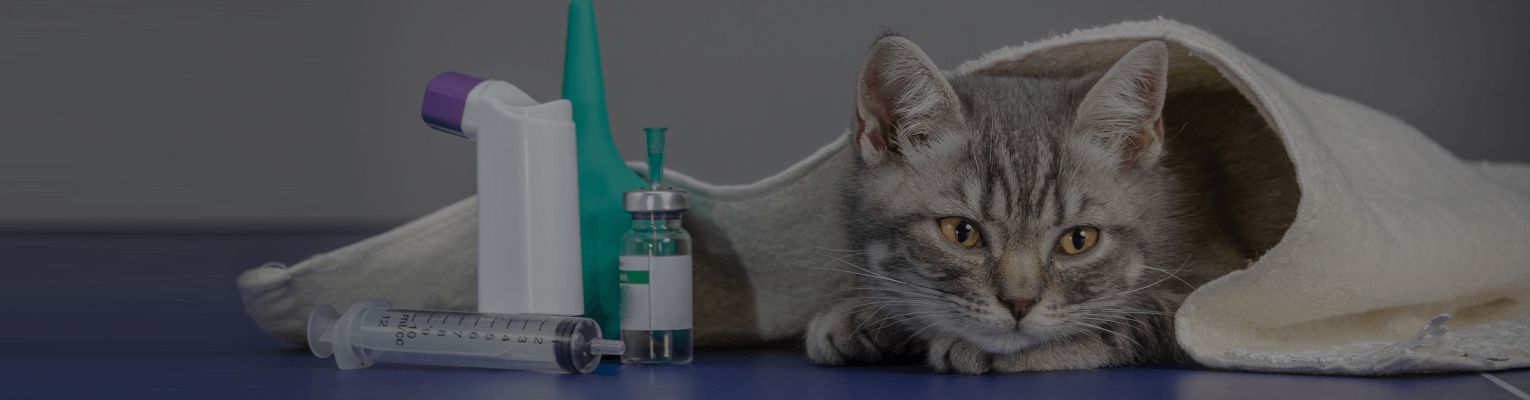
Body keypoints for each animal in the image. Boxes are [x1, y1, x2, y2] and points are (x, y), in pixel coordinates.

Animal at [801, 35, 1291, 372]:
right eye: (961, 232)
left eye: (1079, 239)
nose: (1019, 304)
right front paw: (865, 314)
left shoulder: (1221, 301)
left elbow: (1127, 319)